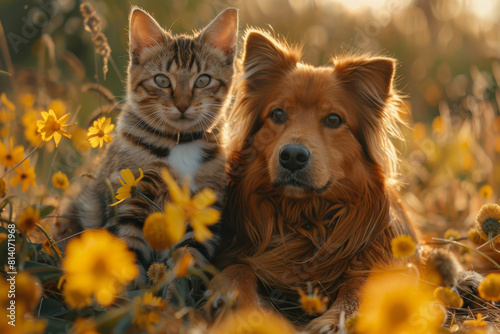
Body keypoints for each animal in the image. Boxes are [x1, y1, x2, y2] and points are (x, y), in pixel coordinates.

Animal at [56, 7, 238, 284]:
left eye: (203, 80)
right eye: (162, 80)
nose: (182, 105)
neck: (179, 143)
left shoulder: (202, 210)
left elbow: (189, 257)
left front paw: (175, 290)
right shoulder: (129, 203)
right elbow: (128, 258)